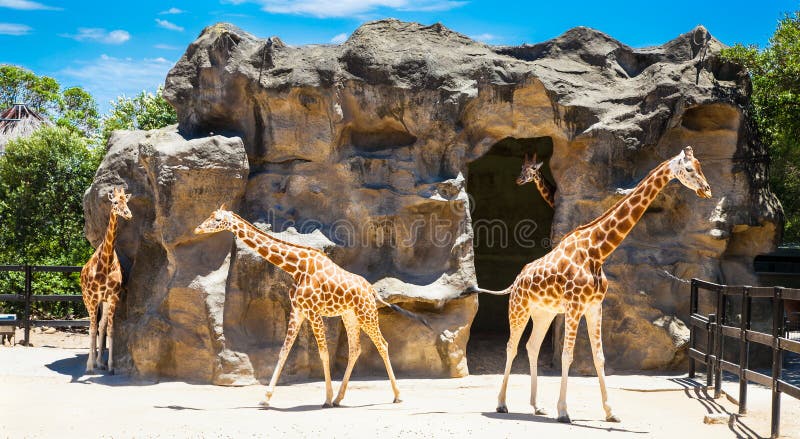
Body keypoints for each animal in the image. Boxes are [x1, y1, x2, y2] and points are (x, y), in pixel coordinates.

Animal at [79, 187, 131, 376]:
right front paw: (89, 366)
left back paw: (99, 362)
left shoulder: (112, 298)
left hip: (104, 302)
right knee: (91, 326)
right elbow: (92, 329)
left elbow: (109, 329)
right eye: (115, 202)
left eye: (126, 201)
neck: (106, 262)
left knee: (100, 326)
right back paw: (92, 363)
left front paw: (110, 365)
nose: (128, 214)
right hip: (87, 299)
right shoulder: (93, 298)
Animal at [194, 210, 432, 410]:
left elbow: (323, 353)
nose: (197, 229)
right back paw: (340, 398)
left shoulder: (313, 312)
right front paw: (265, 398)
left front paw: (326, 398)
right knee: (355, 349)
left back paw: (397, 395)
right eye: (210, 215)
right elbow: (283, 351)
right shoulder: (298, 310)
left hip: (367, 313)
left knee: (382, 344)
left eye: (217, 219)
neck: (295, 267)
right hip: (349, 315)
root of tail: (371, 289)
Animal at [466, 147, 708, 422]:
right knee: (511, 347)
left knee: (532, 346)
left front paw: (610, 412)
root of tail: (517, 280)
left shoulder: (594, 306)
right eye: (688, 169)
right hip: (519, 308)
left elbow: (599, 357)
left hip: (544, 313)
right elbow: (567, 355)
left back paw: (537, 406)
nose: (707, 189)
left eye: (700, 166)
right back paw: (501, 404)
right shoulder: (574, 306)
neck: (597, 251)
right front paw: (563, 411)